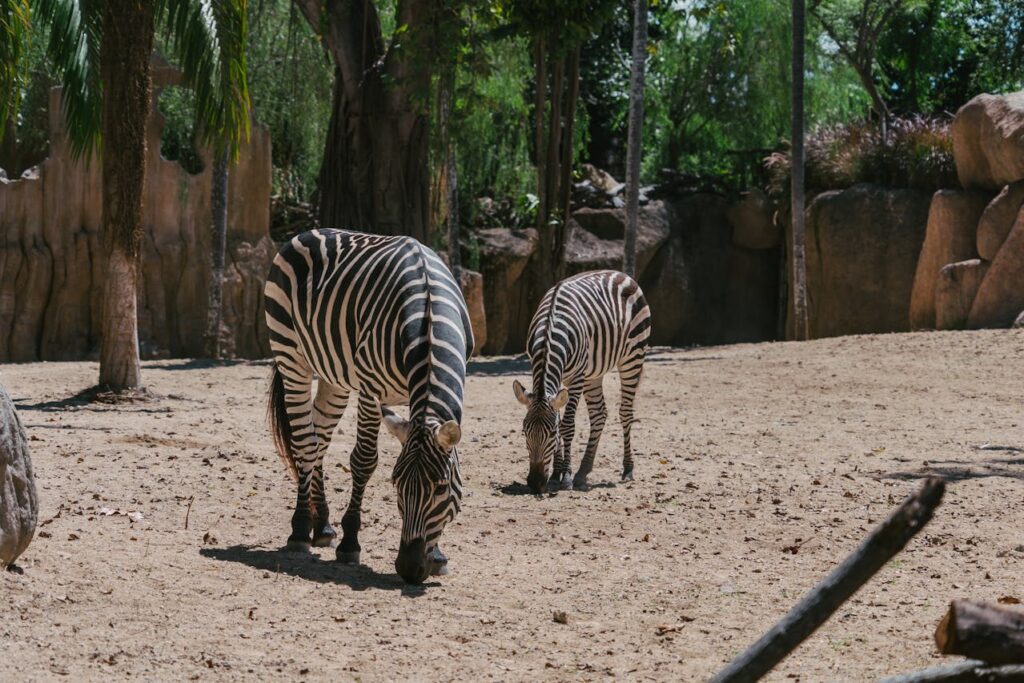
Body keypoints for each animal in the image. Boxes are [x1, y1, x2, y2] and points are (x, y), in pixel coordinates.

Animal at [264, 228, 473, 584]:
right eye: (396, 484)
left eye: (442, 487)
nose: (410, 569)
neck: (429, 313)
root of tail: (310, 232)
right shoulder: (371, 388)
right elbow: (363, 461)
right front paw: (350, 543)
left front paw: (439, 555)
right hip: (291, 356)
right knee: (305, 443)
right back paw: (301, 530)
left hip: (335, 377)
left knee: (319, 439)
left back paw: (322, 526)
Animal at [513, 270, 650, 494]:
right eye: (525, 431)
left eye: (551, 433)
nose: (535, 483)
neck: (551, 329)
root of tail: (621, 274)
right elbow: (560, 418)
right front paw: (556, 475)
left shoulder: (576, 378)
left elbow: (567, 425)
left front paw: (565, 476)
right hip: (593, 374)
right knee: (599, 414)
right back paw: (583, 471)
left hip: (633, 357)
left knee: (626, 413)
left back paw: (628, 469)